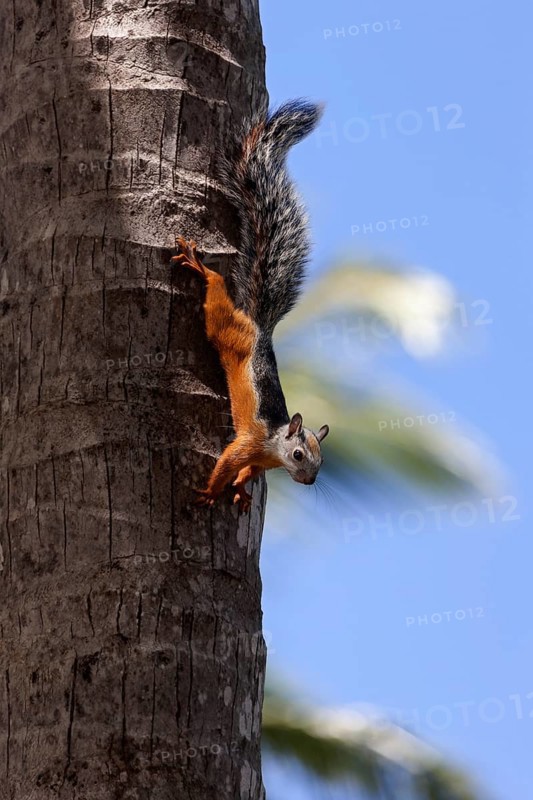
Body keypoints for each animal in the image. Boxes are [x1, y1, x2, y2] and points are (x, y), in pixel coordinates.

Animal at [172, 100, 329, 513]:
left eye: (322, 462)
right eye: (298, 455)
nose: (309, 482)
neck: (273, 446)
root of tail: (259, 327)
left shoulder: (259, 462)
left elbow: (246, 474)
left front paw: (241, 491)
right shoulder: (246, 444)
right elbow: (226, 464)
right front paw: (211, 492)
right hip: (225, 326)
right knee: (217, 300)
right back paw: (203, 270)